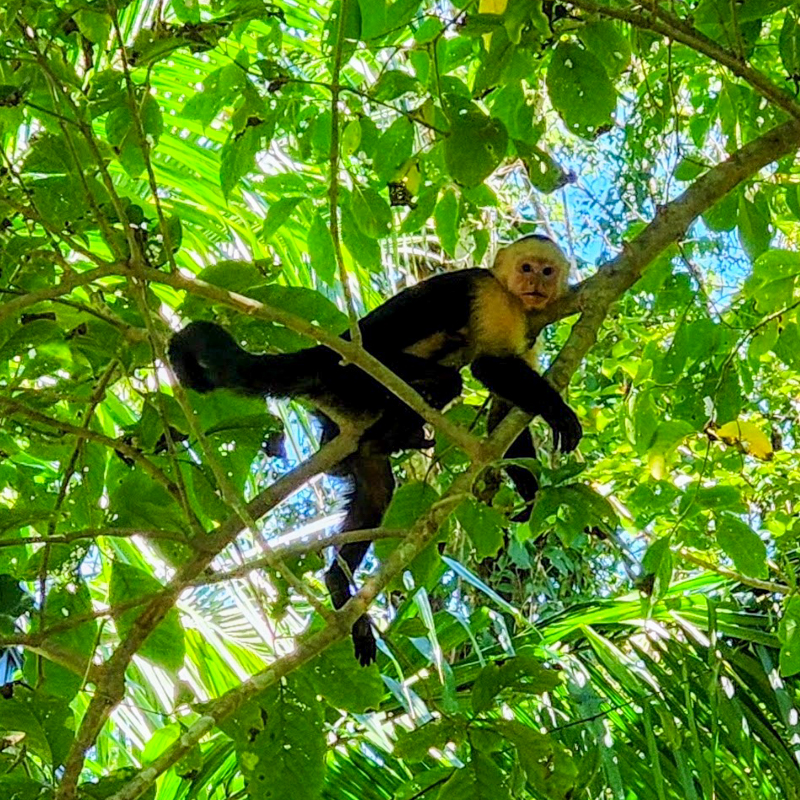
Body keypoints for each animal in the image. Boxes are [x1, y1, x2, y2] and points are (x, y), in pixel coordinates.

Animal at [168, 234, 580, 665]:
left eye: (547, 271)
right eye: (525, 268)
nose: (535, 283)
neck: (514, 298)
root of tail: (323, 353)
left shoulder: (528, 326)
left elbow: (503, 413)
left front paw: (529, 489)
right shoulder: (490, 294)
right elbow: (490, 366)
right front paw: (558, 411)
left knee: (376, 490)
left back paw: (341, 569)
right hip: (355, 375)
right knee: (438, 379)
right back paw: (396, 431)